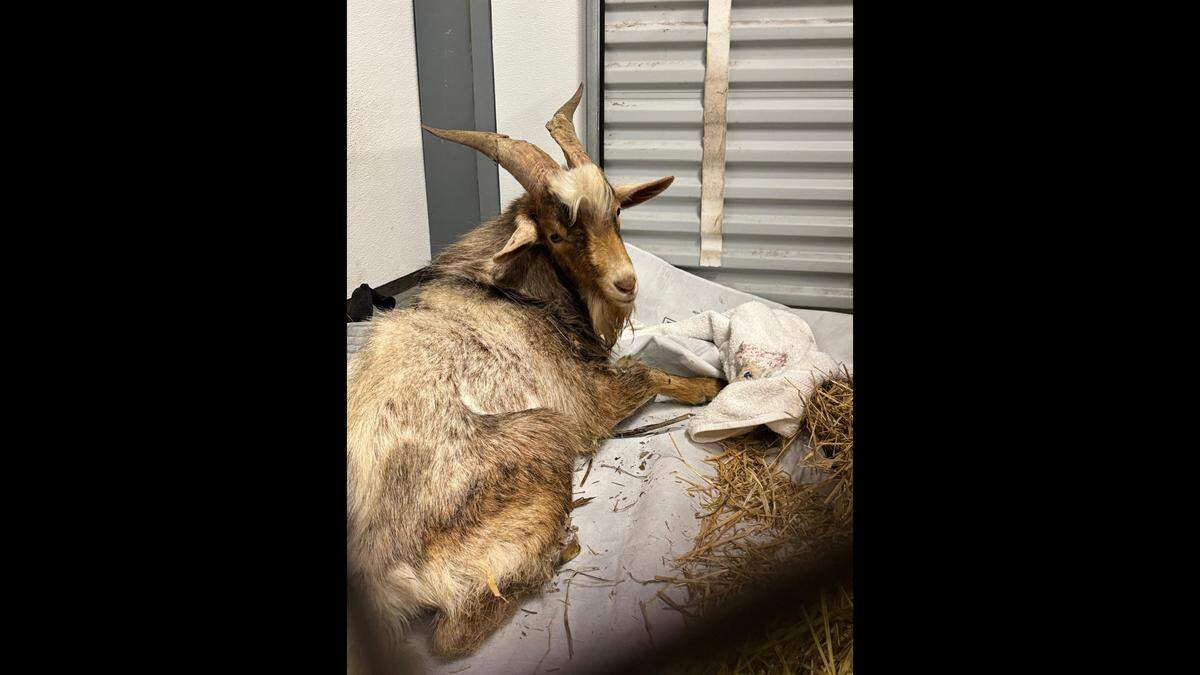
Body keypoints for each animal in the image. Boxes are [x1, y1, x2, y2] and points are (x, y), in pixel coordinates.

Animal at [347, 85, 725, 663]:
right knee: (451, 635)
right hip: (543, 437)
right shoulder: (587, 403)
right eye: (555, 234)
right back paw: (563, 547)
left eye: (616, 211)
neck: (510, 290)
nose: (625, 283)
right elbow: (646, 372)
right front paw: (711, 386)